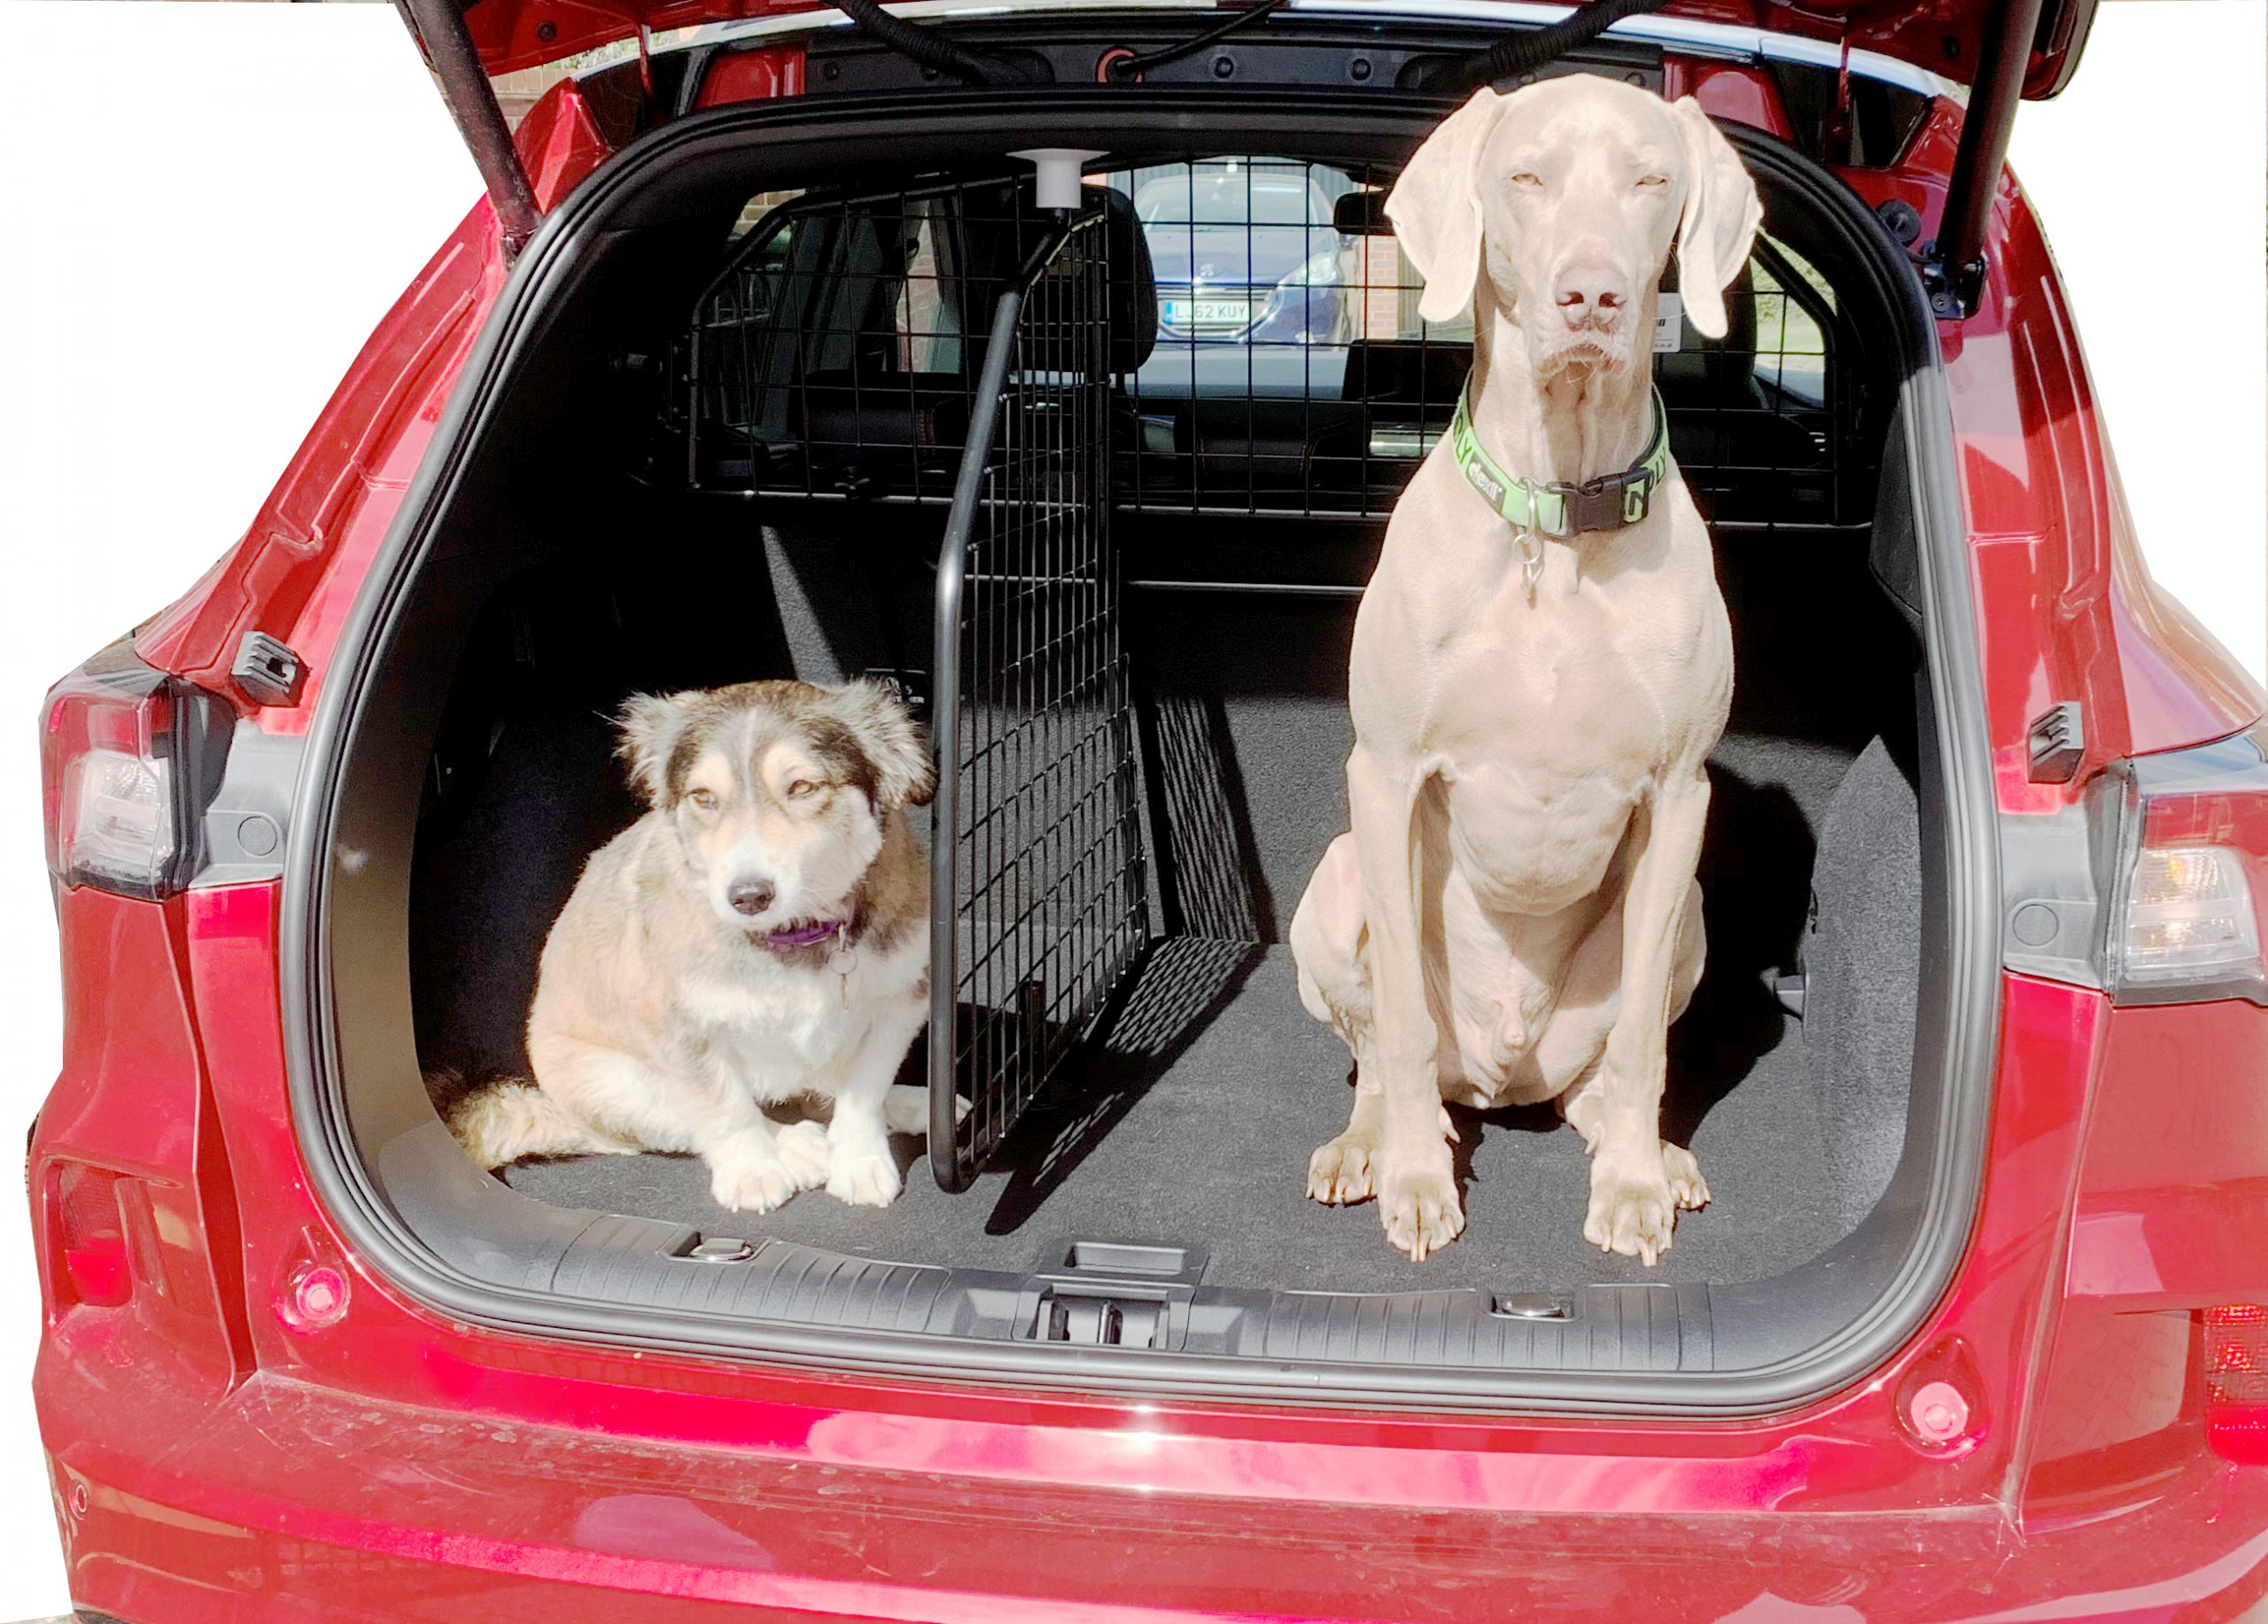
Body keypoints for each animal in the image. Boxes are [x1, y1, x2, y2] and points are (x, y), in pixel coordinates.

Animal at [442, 680, 938, 1216]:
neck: (790, 936)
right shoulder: (682, 1027)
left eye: (803, 787)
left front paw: (860, 1162)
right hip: (614, 1083)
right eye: (703, 797)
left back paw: (913, 1104)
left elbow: (863, 1089)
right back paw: (797, 1146)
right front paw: (753, 1172)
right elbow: (724, 1106)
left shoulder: (902, 1003)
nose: (748, 896)